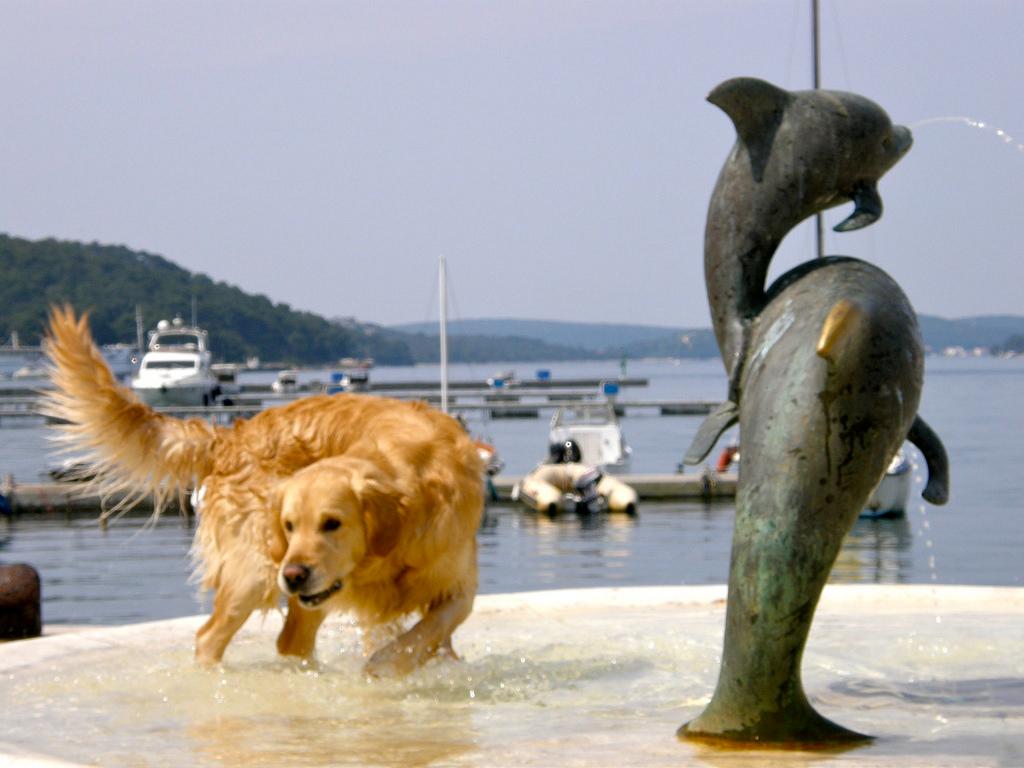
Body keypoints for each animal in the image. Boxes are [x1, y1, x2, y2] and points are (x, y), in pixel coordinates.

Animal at [41, 307, 481, 671]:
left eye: (332, 523)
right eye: (289, 525)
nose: (295, 575)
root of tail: (229, 436)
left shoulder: (457, 584)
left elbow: (432, 629)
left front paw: (411, 664)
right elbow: (410, 638)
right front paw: (387, 666)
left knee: (291, 643)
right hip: (256, 570)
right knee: (215, 638)